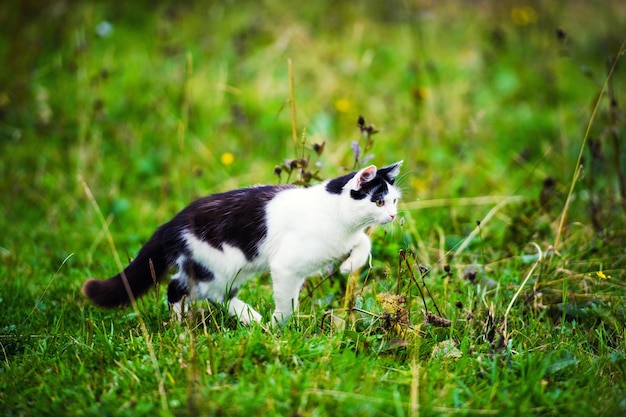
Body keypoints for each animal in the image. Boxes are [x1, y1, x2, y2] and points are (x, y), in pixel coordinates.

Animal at [80, 159, 402, 324]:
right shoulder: (286, 266)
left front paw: (349, 266)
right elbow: (286, 302)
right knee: (179, 288)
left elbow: (363, 244)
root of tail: (171, 224)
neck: (337, 216)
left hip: (230, 270)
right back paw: (183, 328)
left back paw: (249, 318)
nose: (393, 215)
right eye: (378, 200)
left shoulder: (343, 241)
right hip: (220, 265)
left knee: (211, 293)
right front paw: (281, 328)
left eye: (394, 200)